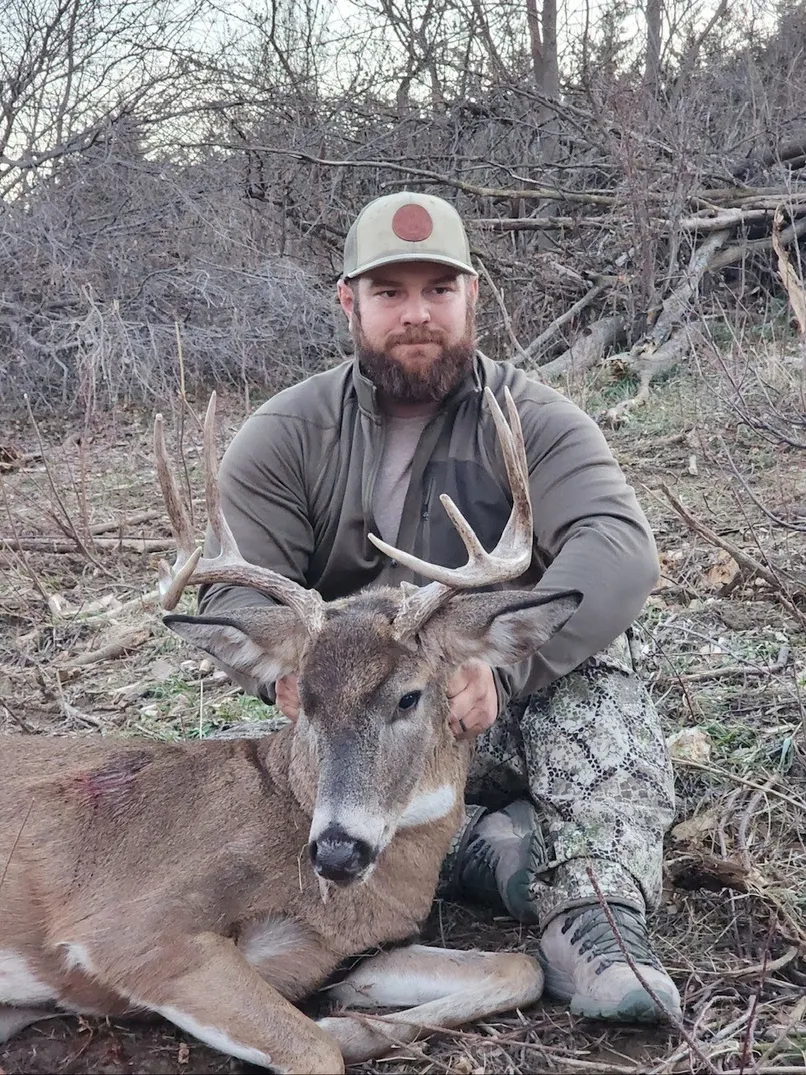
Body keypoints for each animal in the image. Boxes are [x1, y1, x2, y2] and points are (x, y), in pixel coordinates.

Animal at [0, 387, 579, 1074]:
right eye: (303, 699)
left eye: (409, 696)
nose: (336, 851)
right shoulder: (124, 926)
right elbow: (315, 1049)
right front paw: (342, 1031)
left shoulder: (349, 953)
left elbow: (522, 967)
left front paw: (354, 1018)